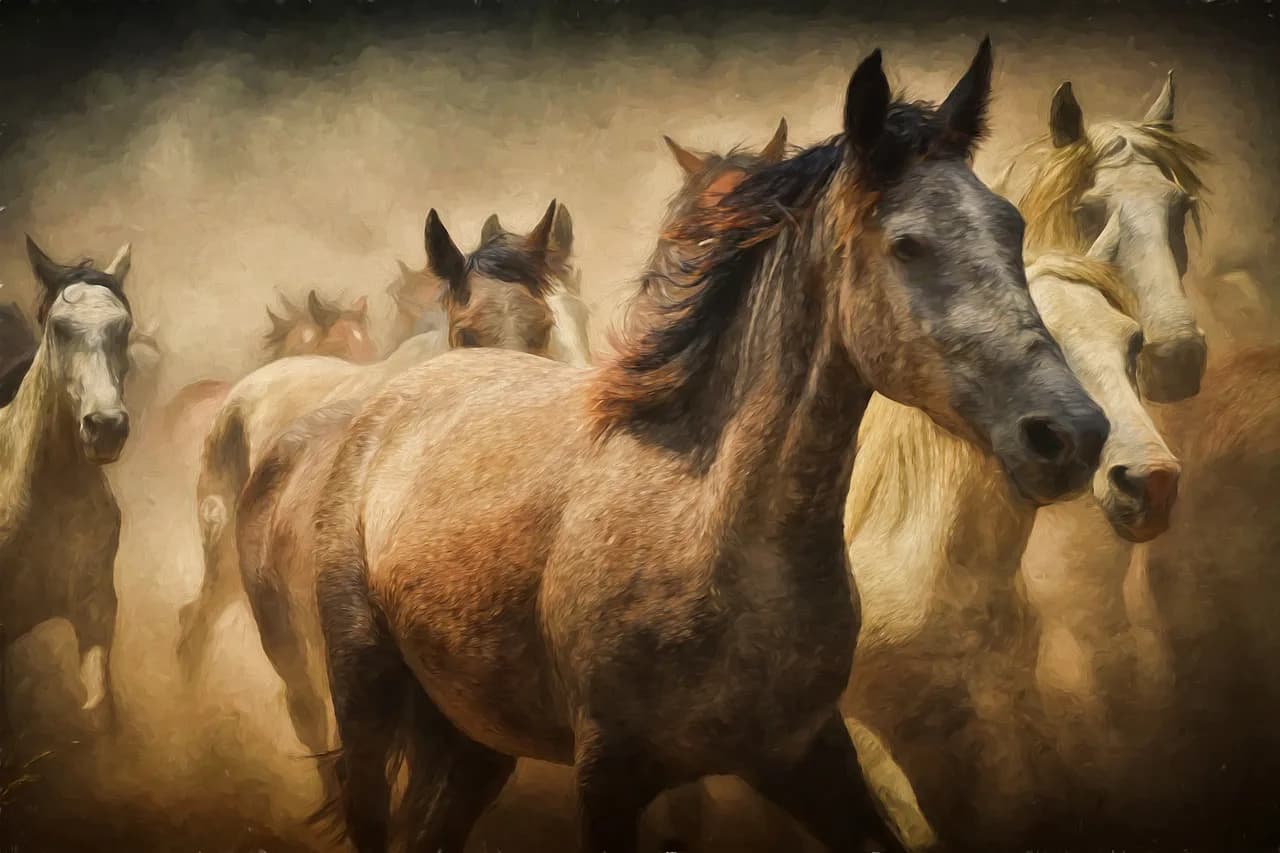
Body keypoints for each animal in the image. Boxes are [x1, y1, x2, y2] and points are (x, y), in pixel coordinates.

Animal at [311, 40, 1108, 853]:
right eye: (908, 244)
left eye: (1011, 227)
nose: (1071, 434)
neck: (710, 529)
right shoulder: (610, 777)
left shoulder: (806, 754)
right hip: (366, 690)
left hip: (475, 736)